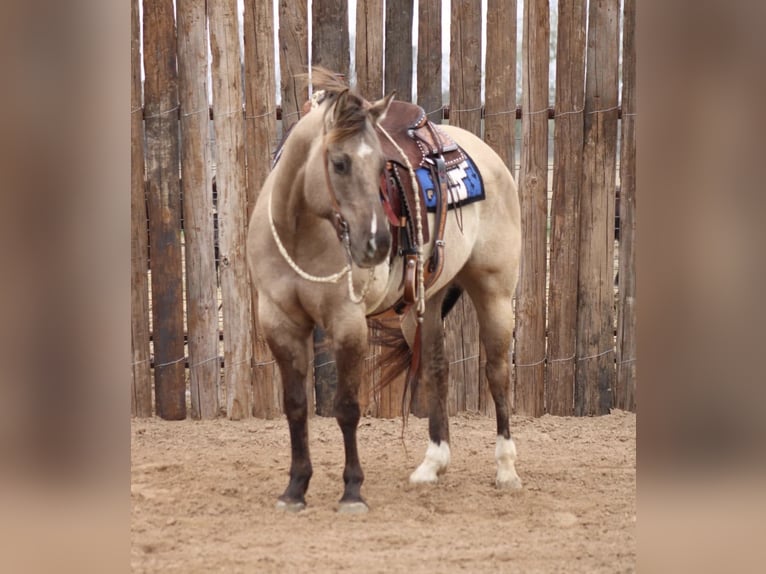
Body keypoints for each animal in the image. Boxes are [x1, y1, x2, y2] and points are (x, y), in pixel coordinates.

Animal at [246, 69, 522, 513]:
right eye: (339, 163)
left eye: (380, 165)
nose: (376, 243)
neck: (299, 230)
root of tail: (489, 157)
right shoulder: (279, 322)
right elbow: (295, 406)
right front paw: (295, 488)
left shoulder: (347, 323)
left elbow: (346, 407)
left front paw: (352, 491)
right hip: (422, 304)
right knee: (437, 369)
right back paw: (432, 465)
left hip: (494, 293)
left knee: (497, 374)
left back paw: (506, 470)